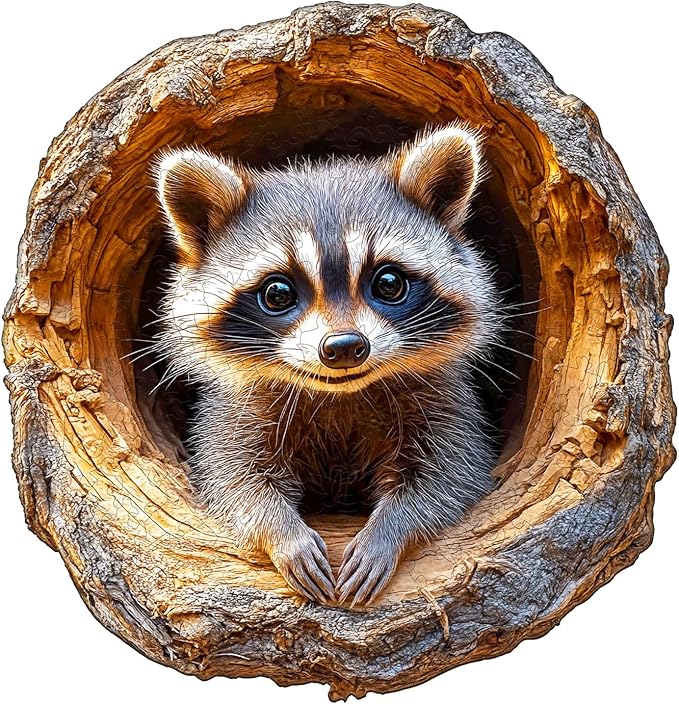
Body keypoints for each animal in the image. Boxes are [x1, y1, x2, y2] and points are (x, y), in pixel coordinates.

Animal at [148, 122, 504, 606]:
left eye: (388, 283)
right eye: (277, 293)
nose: (344, 347)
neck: (339, 392)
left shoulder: (446, 403)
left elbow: (448, 475)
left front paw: (389, 531)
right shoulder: (233, 412)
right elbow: (234, 479)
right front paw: (283, 533)